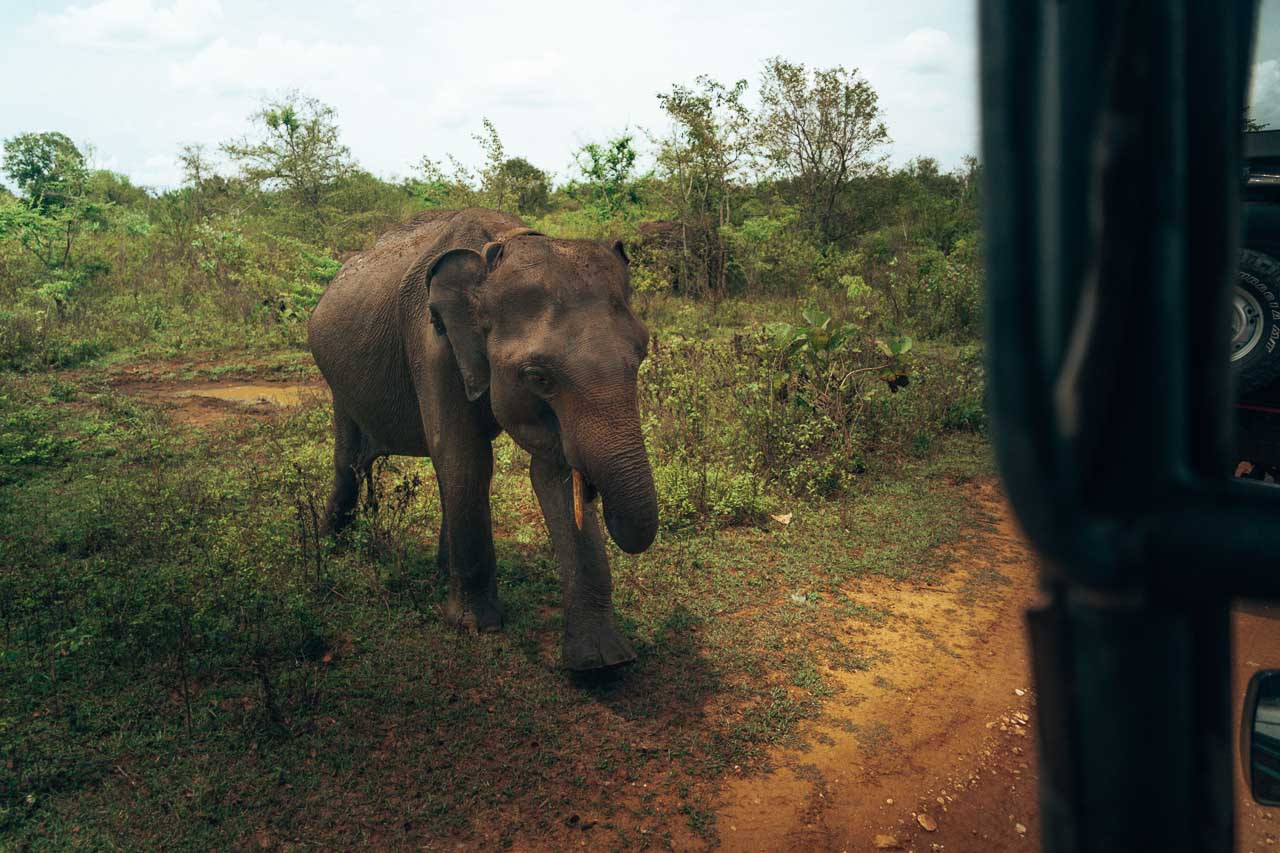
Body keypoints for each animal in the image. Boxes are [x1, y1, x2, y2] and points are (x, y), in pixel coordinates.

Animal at [304, 207, 655, 671]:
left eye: (642, 354)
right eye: (538, 376)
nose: (599, 492)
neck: (499, 249)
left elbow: (549, 472)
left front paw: (603, 663)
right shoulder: (431, 341)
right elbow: (464, 457)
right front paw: (475, 626)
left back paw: (438, 570)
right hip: (335, 377)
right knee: (349, 462)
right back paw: (333, 547)